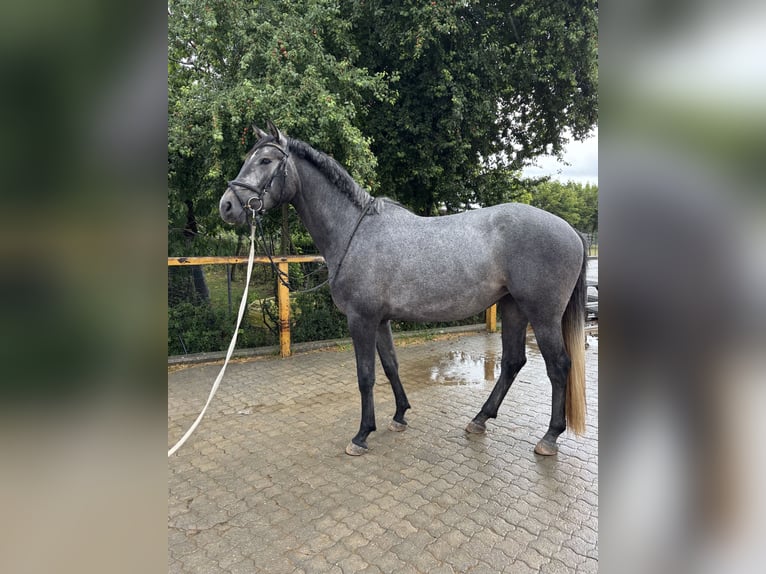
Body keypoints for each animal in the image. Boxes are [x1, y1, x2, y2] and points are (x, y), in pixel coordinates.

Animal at [219, 122, 587, 457]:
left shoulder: (361, 319)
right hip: (513, 308)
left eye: (266, 160)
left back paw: (549, 438)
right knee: (512, 362)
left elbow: (366, 375)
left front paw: (361, 435)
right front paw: (399, 416)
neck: (354, 232)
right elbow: (390, 366)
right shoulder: (381, 320)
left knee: (558, 366)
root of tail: (571, 230)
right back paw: (479, 419)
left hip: (542, 315)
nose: (227, 206)